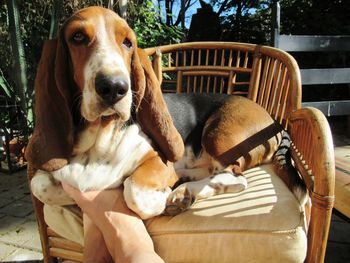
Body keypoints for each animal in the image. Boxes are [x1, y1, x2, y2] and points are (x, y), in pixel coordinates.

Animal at [26, 6, 304, 221]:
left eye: (128, 42)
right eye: (78, 37)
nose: (115, 87)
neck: (99, 139)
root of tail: (276, 122)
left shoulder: (156, 161)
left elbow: (133, 192)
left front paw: (166, 199)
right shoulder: (48, 177)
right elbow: (39, 185)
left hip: (218, 135)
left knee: (237, 178)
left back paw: (182, 192)